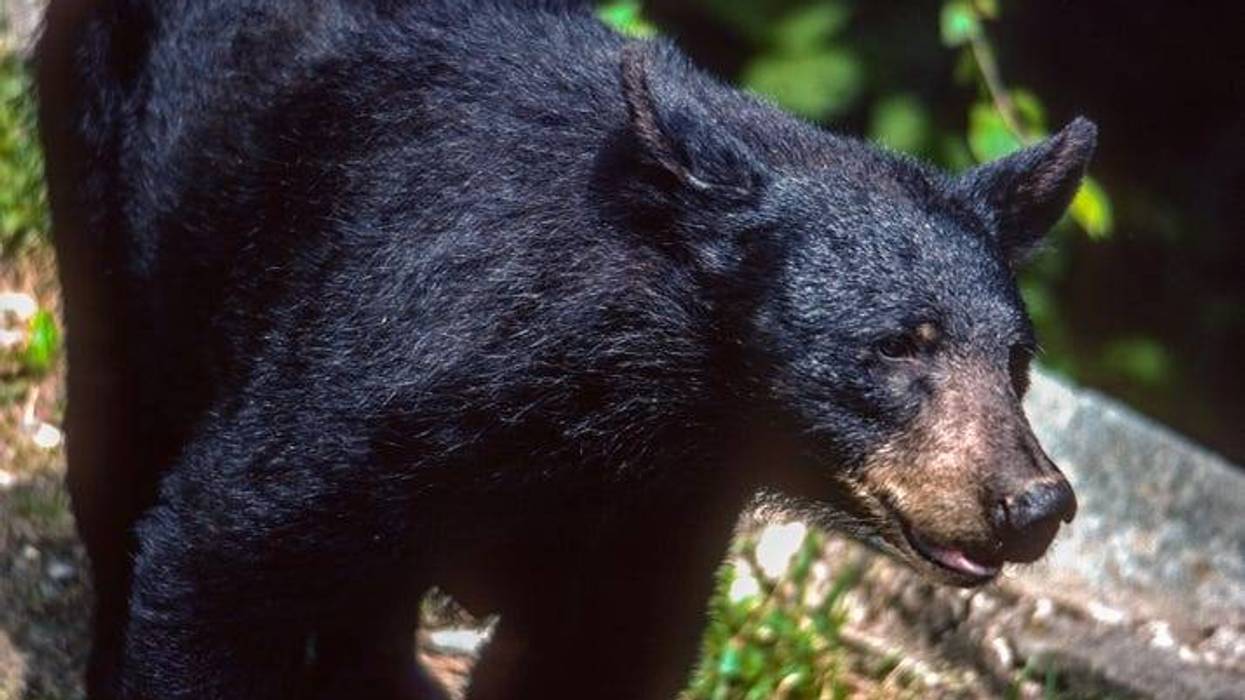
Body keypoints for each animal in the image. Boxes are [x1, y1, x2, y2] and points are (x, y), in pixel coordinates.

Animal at [36, 1, 1091, 698]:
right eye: (896, 348)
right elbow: (225, 545)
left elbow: (601, 647)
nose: (1034, 503)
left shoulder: (655, 504)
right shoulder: (381, 370)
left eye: (1017, 362)